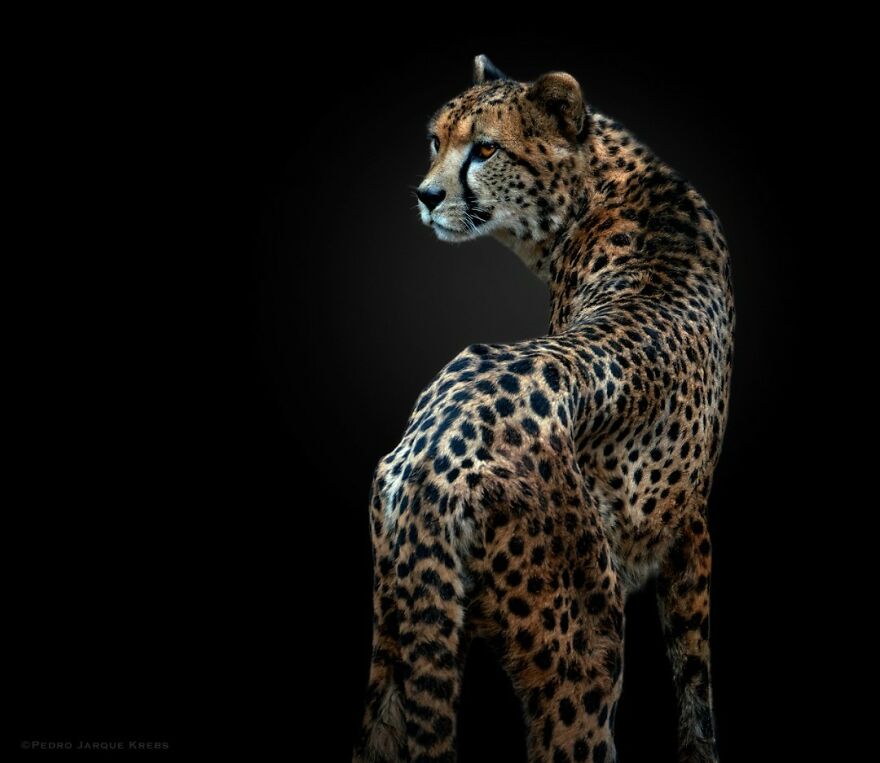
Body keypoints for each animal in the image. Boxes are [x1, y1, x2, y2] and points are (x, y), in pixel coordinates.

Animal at [353, 54, 734, 763]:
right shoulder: (689, 525)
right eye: (435, 141)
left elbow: (696, 683)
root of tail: (433, 449)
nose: (426, 195)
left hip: (400, 629)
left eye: (485, 149)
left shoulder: (687, 524)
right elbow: (695, 679)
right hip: (584, 648)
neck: (603, 184)